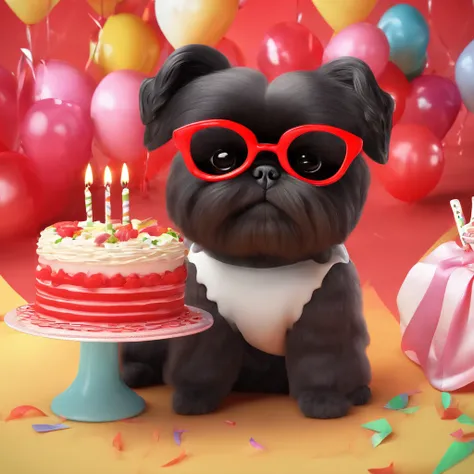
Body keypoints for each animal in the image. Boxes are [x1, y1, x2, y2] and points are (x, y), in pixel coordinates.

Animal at [121, 44, 392, 418]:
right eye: (222, 158)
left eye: (309, 162)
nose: (265, 171)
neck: (263, 264)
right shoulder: (207, 315)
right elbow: (202, 359)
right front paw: (194, 398)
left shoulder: (326, 317)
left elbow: (323, 363)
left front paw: (325, 401)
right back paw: (135, 373)